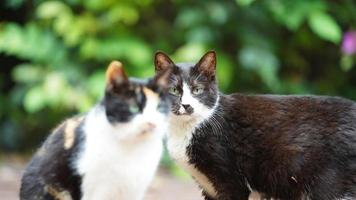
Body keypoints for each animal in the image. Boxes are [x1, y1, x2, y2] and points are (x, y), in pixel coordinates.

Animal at [154, 50, 356, 199]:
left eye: (197, 90)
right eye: (174, 90)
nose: (186, 105)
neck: (187, 128)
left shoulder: (232, 183)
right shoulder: (209, 189)